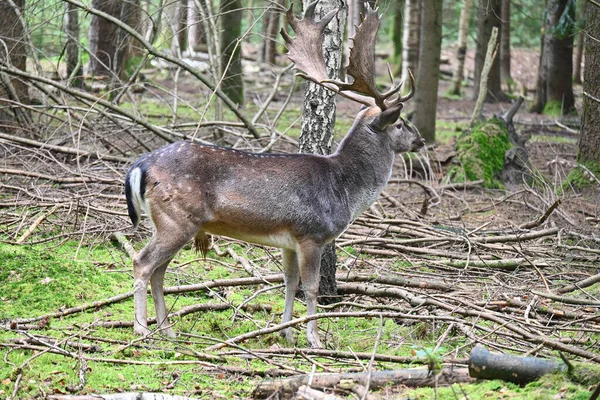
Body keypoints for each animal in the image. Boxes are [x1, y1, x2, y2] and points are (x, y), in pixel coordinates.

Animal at [124, 1, 424, 348]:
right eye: (400, 124)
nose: (421, 140)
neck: (344, 189)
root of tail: (141, 165)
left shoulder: (288, 240)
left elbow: (289, 282)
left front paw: (287, 333)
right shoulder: (311, 234)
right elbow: (311, 287)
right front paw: (314, 339)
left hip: (170, 222)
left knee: (159, 271)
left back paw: (168, 329)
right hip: (176, 218)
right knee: (142, 263)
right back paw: (141, 329)